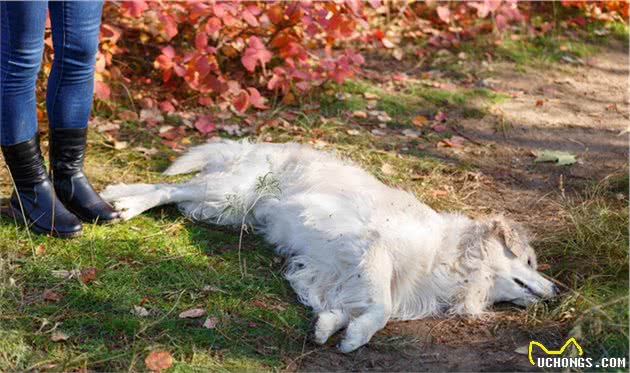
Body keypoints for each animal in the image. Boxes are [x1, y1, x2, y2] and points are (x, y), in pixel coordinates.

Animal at [101, 140, 560, 352]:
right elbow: (381, 307)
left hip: (226, 210)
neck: (453, 258)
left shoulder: (335, 270)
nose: (558, 291)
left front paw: (329, 324)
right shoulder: (368, 246)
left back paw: (115, 195)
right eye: (530, 260)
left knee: (170, 192)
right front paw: (354, 336)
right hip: (230, 193)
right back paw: (122, 204)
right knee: (168, 188)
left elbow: (344, 303)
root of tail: (260, 144)